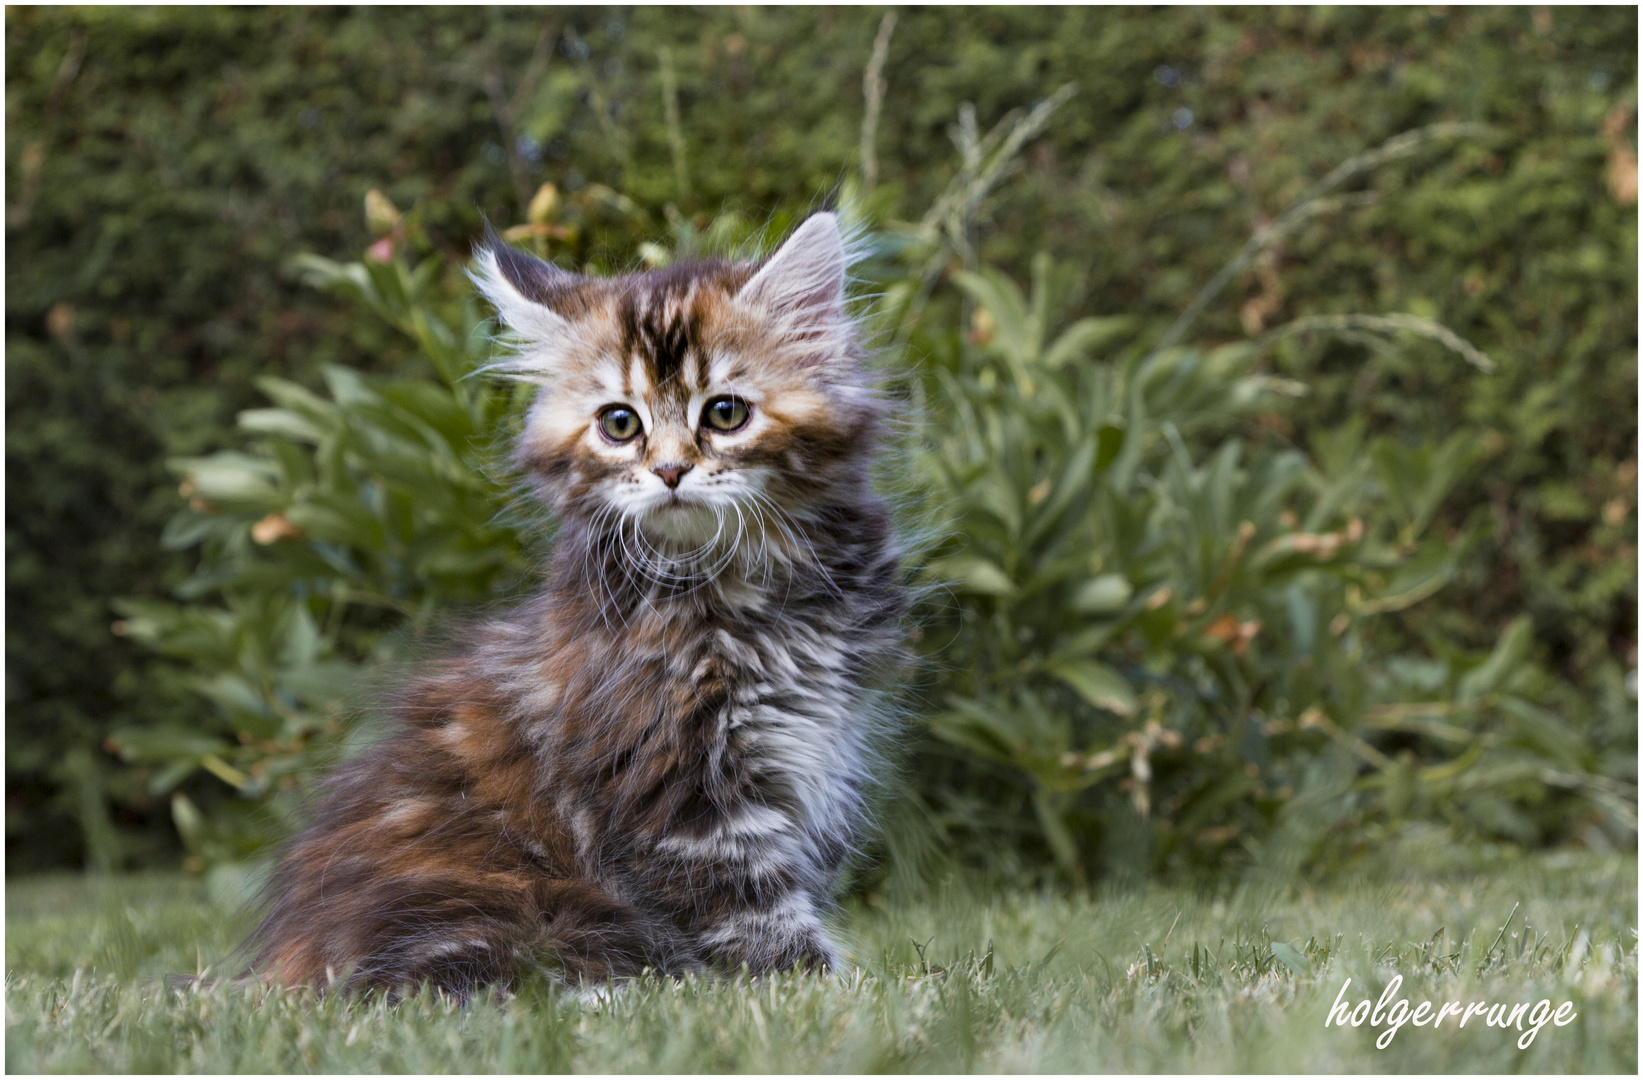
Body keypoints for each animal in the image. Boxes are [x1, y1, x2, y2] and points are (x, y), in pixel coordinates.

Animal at [249, 210, 906, 992]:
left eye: (725, 413)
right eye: (619, 424)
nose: (670, 470)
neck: (748, 589)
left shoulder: (829, 742)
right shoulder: (676, 785)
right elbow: (755, 916)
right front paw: (831, 987)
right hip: (509, 901)